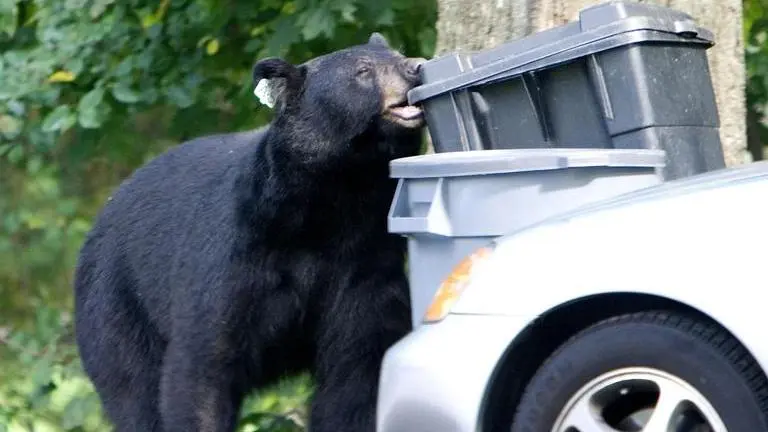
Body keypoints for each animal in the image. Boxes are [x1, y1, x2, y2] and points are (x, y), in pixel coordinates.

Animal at [73, 32, 426, 432]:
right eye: (362, 71)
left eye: (396, 54)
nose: (415, 67)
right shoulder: (235, 256)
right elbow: (203, 366)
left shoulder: (363, 263)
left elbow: (356, 371)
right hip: (116, 308)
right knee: (133, 390)